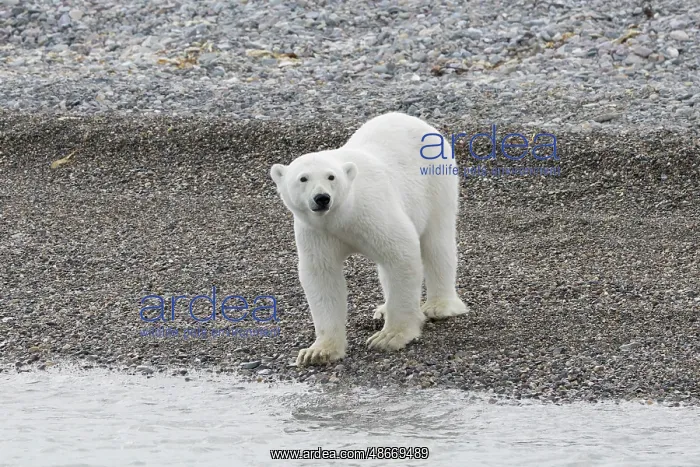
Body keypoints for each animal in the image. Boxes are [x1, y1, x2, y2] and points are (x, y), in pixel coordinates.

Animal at [270, 112, 468, 366]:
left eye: (331, 177)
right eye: (303, 178)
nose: (322, 198)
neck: (341, 217)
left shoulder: (371, 211)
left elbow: (401, 252)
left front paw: (390, 336)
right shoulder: (316, 232)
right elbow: (322, 275)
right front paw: (318, 351)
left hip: (436, 181)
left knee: (436, 243)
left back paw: (439, 306)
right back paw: (383, 309)